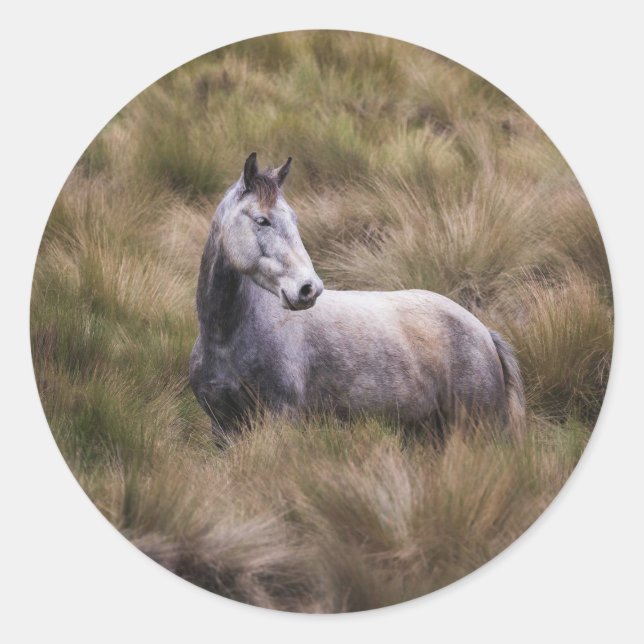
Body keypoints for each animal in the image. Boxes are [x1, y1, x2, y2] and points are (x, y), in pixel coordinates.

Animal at [189, 153, 525, 444]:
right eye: (262, 220)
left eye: (294, 219)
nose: (308, 289)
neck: (226, 337)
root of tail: (483, 331)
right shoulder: (222, 427)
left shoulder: (280, 418)